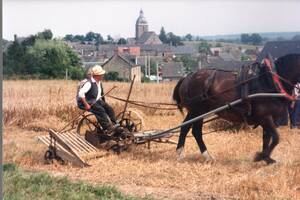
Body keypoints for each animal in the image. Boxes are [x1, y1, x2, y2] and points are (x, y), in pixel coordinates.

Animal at [172, 53, 300, 164]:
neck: (270, 81)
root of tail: (187, 77)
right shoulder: (265, 117)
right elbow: (276, 138)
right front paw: (260, 156)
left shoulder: (268, 118)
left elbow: (267, 139)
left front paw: (266, 158)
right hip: (197, 111)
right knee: (191, 129)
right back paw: (188, 154)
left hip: (198, 112)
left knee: (191, 129)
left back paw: (198, 155)